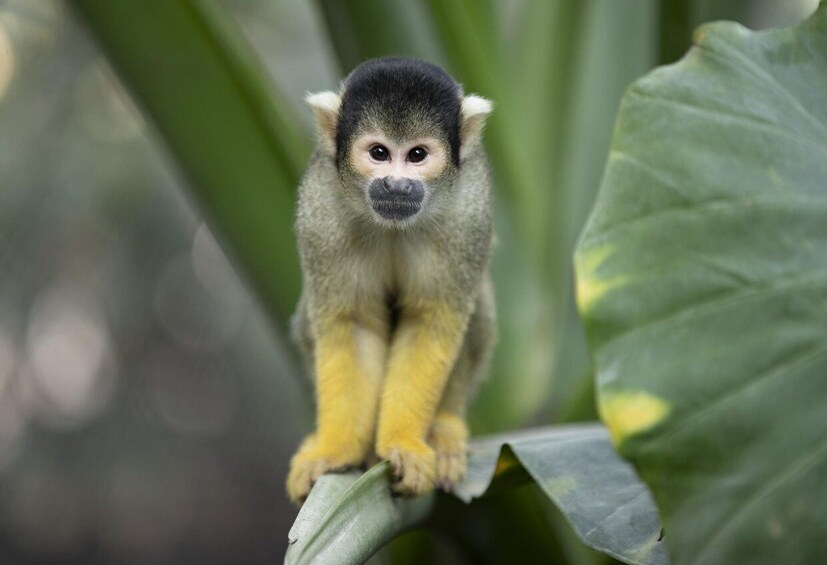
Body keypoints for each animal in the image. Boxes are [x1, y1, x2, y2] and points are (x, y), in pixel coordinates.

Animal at [287, 56, 496, 505]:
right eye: (379, 153)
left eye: (417, 155)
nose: (397, 184)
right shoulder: (320, 206)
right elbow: (353, 324)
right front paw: (334, 452)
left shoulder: (470, 211)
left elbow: (430, 322)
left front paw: (404, 445)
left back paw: (445, 427)